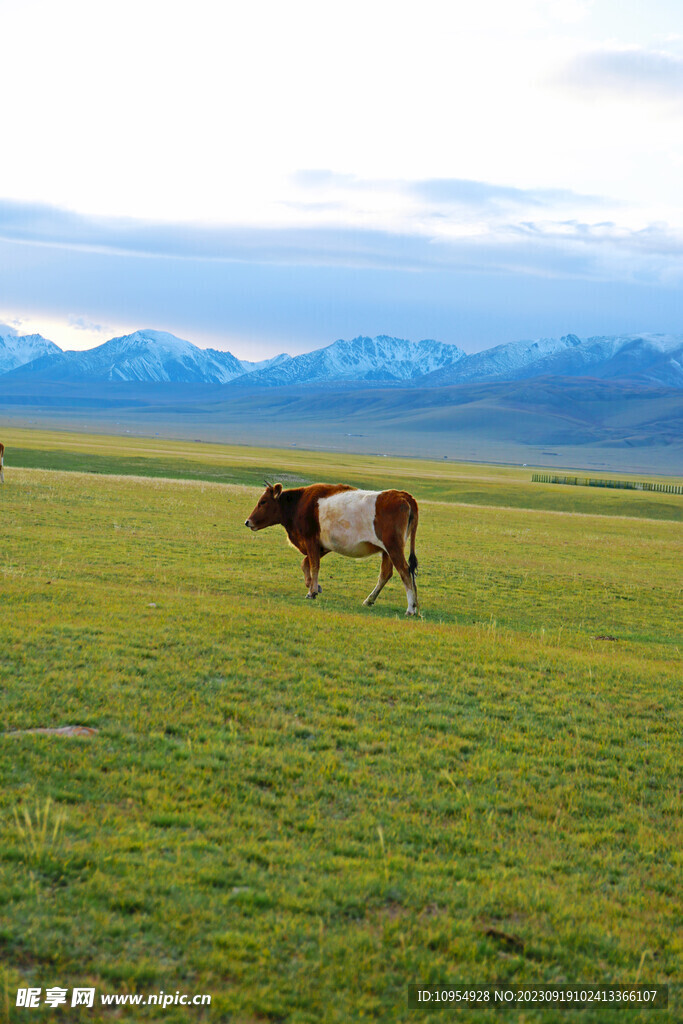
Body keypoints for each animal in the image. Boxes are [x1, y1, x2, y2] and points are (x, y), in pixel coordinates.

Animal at [242, 481, 419, 614]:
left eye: (263, 502)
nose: (247, 521)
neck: (298, 503)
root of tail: (403, 495)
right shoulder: (323, 545)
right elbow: (305, 563)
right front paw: (314, 586)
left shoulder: (310, 540)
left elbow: (314, 565)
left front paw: (312, 591)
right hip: (386, 550)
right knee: (386, 574)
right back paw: (371, 600)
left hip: (393, 547)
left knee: (404, 571)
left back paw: (411, 608)